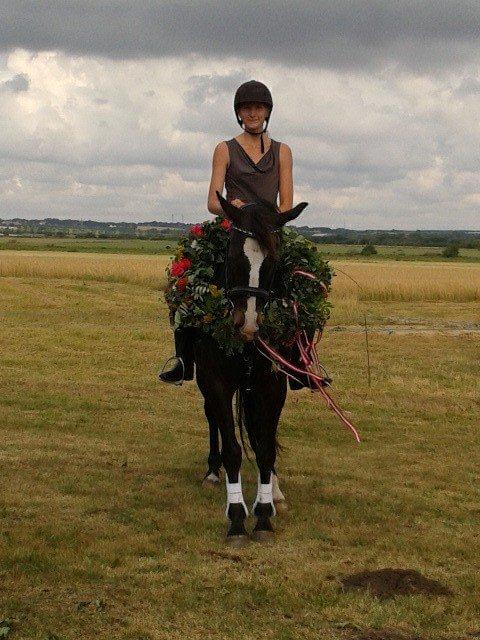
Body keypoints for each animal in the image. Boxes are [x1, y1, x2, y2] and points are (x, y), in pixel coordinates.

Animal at [192, 191, 308, 544]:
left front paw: (264, 514)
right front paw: (236, 518)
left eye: (274, 261)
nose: (249, 323)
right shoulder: (216, 382)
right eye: (233, 257)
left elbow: (266, 447)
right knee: (213, 418)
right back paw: (212, 472)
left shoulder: (271, 386)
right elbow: (233, 449)